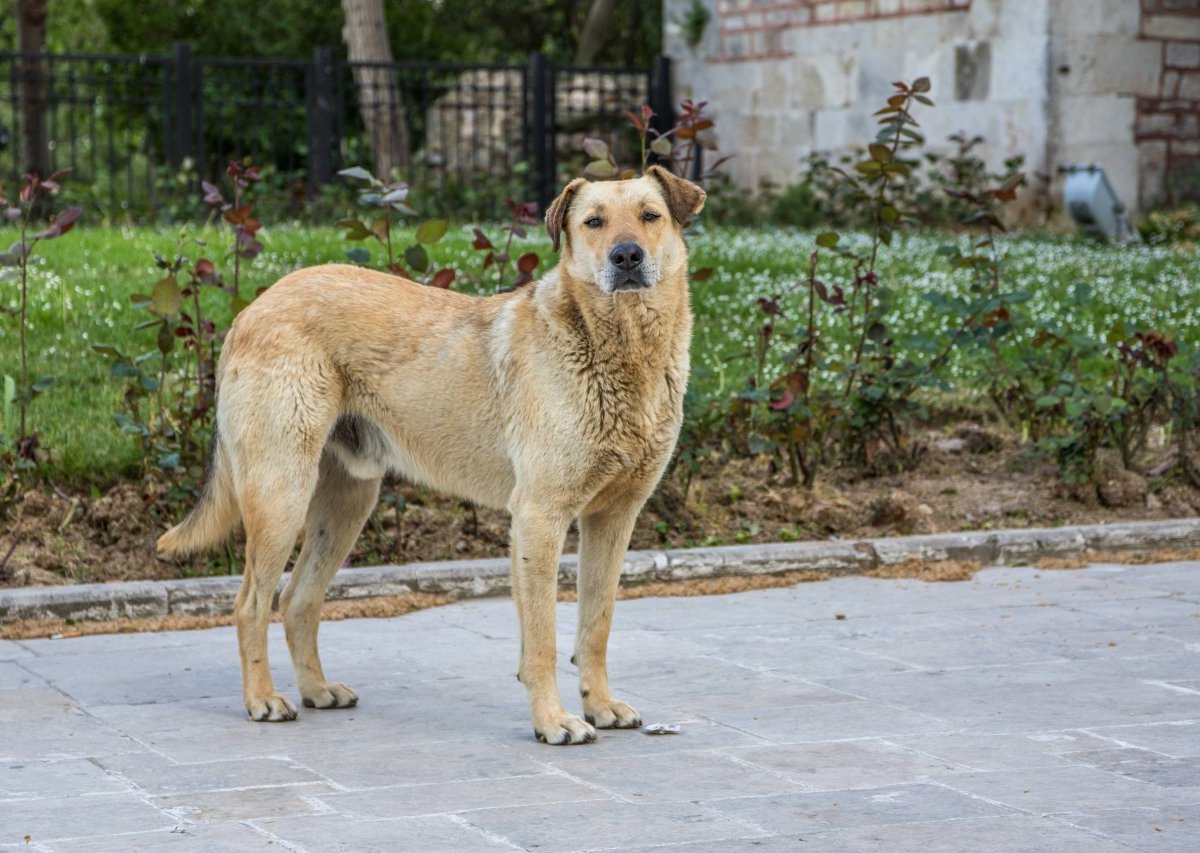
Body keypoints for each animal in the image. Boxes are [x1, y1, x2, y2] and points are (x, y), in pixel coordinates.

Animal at [157, 166, 700, 748]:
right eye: (593, 223)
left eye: (650, 216)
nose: (626, 256)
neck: (620, 345)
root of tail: (252, 308)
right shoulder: (539, 518)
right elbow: (543, 640)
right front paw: (553, 721)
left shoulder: (614, 518)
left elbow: (596, 625)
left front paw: (598, 706)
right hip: (281, 494)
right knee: (251, 605)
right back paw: (262, 699)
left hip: (346, 503)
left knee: (298, 598)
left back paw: (317, 690)